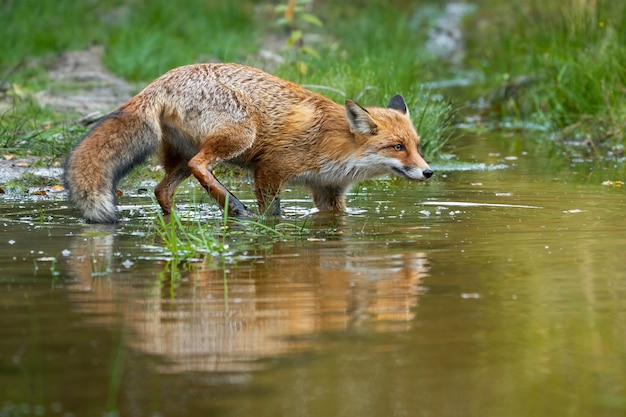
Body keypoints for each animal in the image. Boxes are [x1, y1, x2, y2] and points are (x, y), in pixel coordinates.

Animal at [66, 61, 432, 223]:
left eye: (417, 145)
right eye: (397, 147)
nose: (429, 172)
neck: (336, 148)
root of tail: (161, 80)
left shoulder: (329, 193)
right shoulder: (269, 170)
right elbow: (273, 213)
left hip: (181, 158)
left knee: (161, 189)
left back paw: (178, 221)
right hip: (241, 135)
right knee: (200, 166)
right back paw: (233, 206)